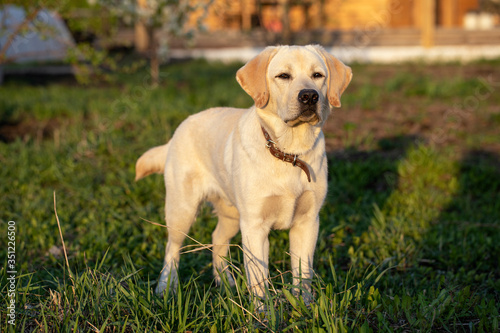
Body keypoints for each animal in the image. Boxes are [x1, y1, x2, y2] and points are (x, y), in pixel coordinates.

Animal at [134, 44, 352, 304]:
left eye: (318, 75)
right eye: (283, 76)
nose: (309, 96)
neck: (289, 152)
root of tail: (180, 127)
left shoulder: (307, 222)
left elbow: (303, 274)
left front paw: (304, 306)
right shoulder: (255, 226)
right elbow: (259, 279)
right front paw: (263, 311)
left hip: (231, 214)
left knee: (217, 239)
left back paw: (225, 283)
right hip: (182, 210)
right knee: (172, 249)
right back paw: (165, 287)